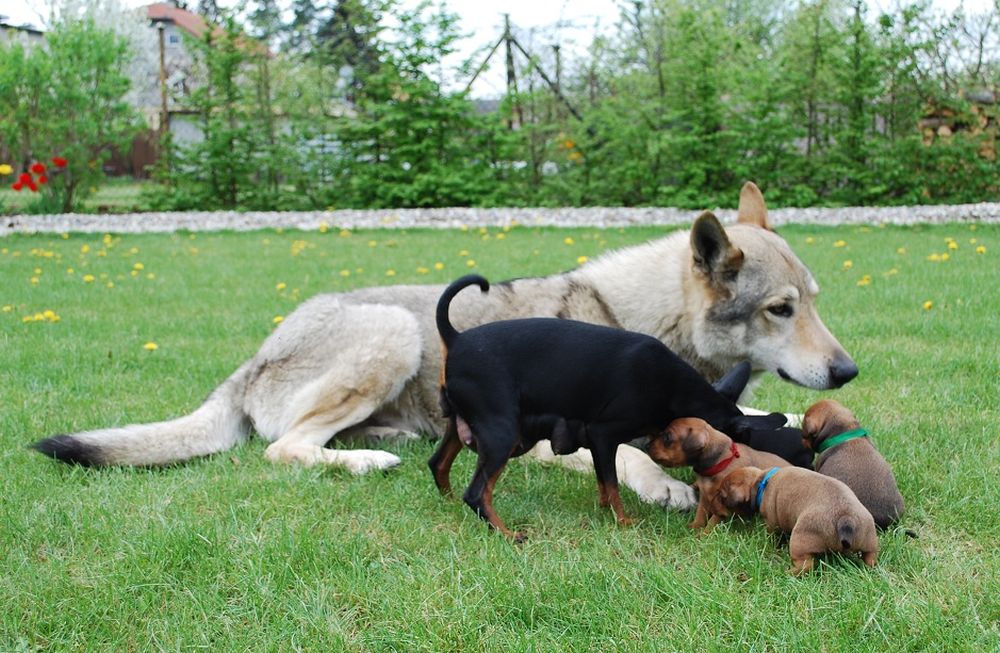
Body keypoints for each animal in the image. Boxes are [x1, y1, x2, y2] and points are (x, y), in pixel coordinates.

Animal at [35, 181, 856, 512]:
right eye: (780, 309)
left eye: (816, 300)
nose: (847, 369)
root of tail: (250, 361)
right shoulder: (557, 436)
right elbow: (627, 456)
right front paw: (662, 483)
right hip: (392, 332)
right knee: (283, 448)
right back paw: (365, 461)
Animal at [648, 418, 796, 528]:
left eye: (667, 437)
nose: (647, 445)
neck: (721, 462)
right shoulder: (705, 496)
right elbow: (701, 514)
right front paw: (694, 527)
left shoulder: (723, 505)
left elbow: (712, 520)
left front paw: (703, 535)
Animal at [708, 464, 880, 576]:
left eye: (722, 496)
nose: (711, 507)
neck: (761, 481)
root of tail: (846, 517)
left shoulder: (772, 523)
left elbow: (773, 535)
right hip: (869, 539)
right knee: (870, 557)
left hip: (800, 540)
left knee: (806, 565)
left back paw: (789, 572)